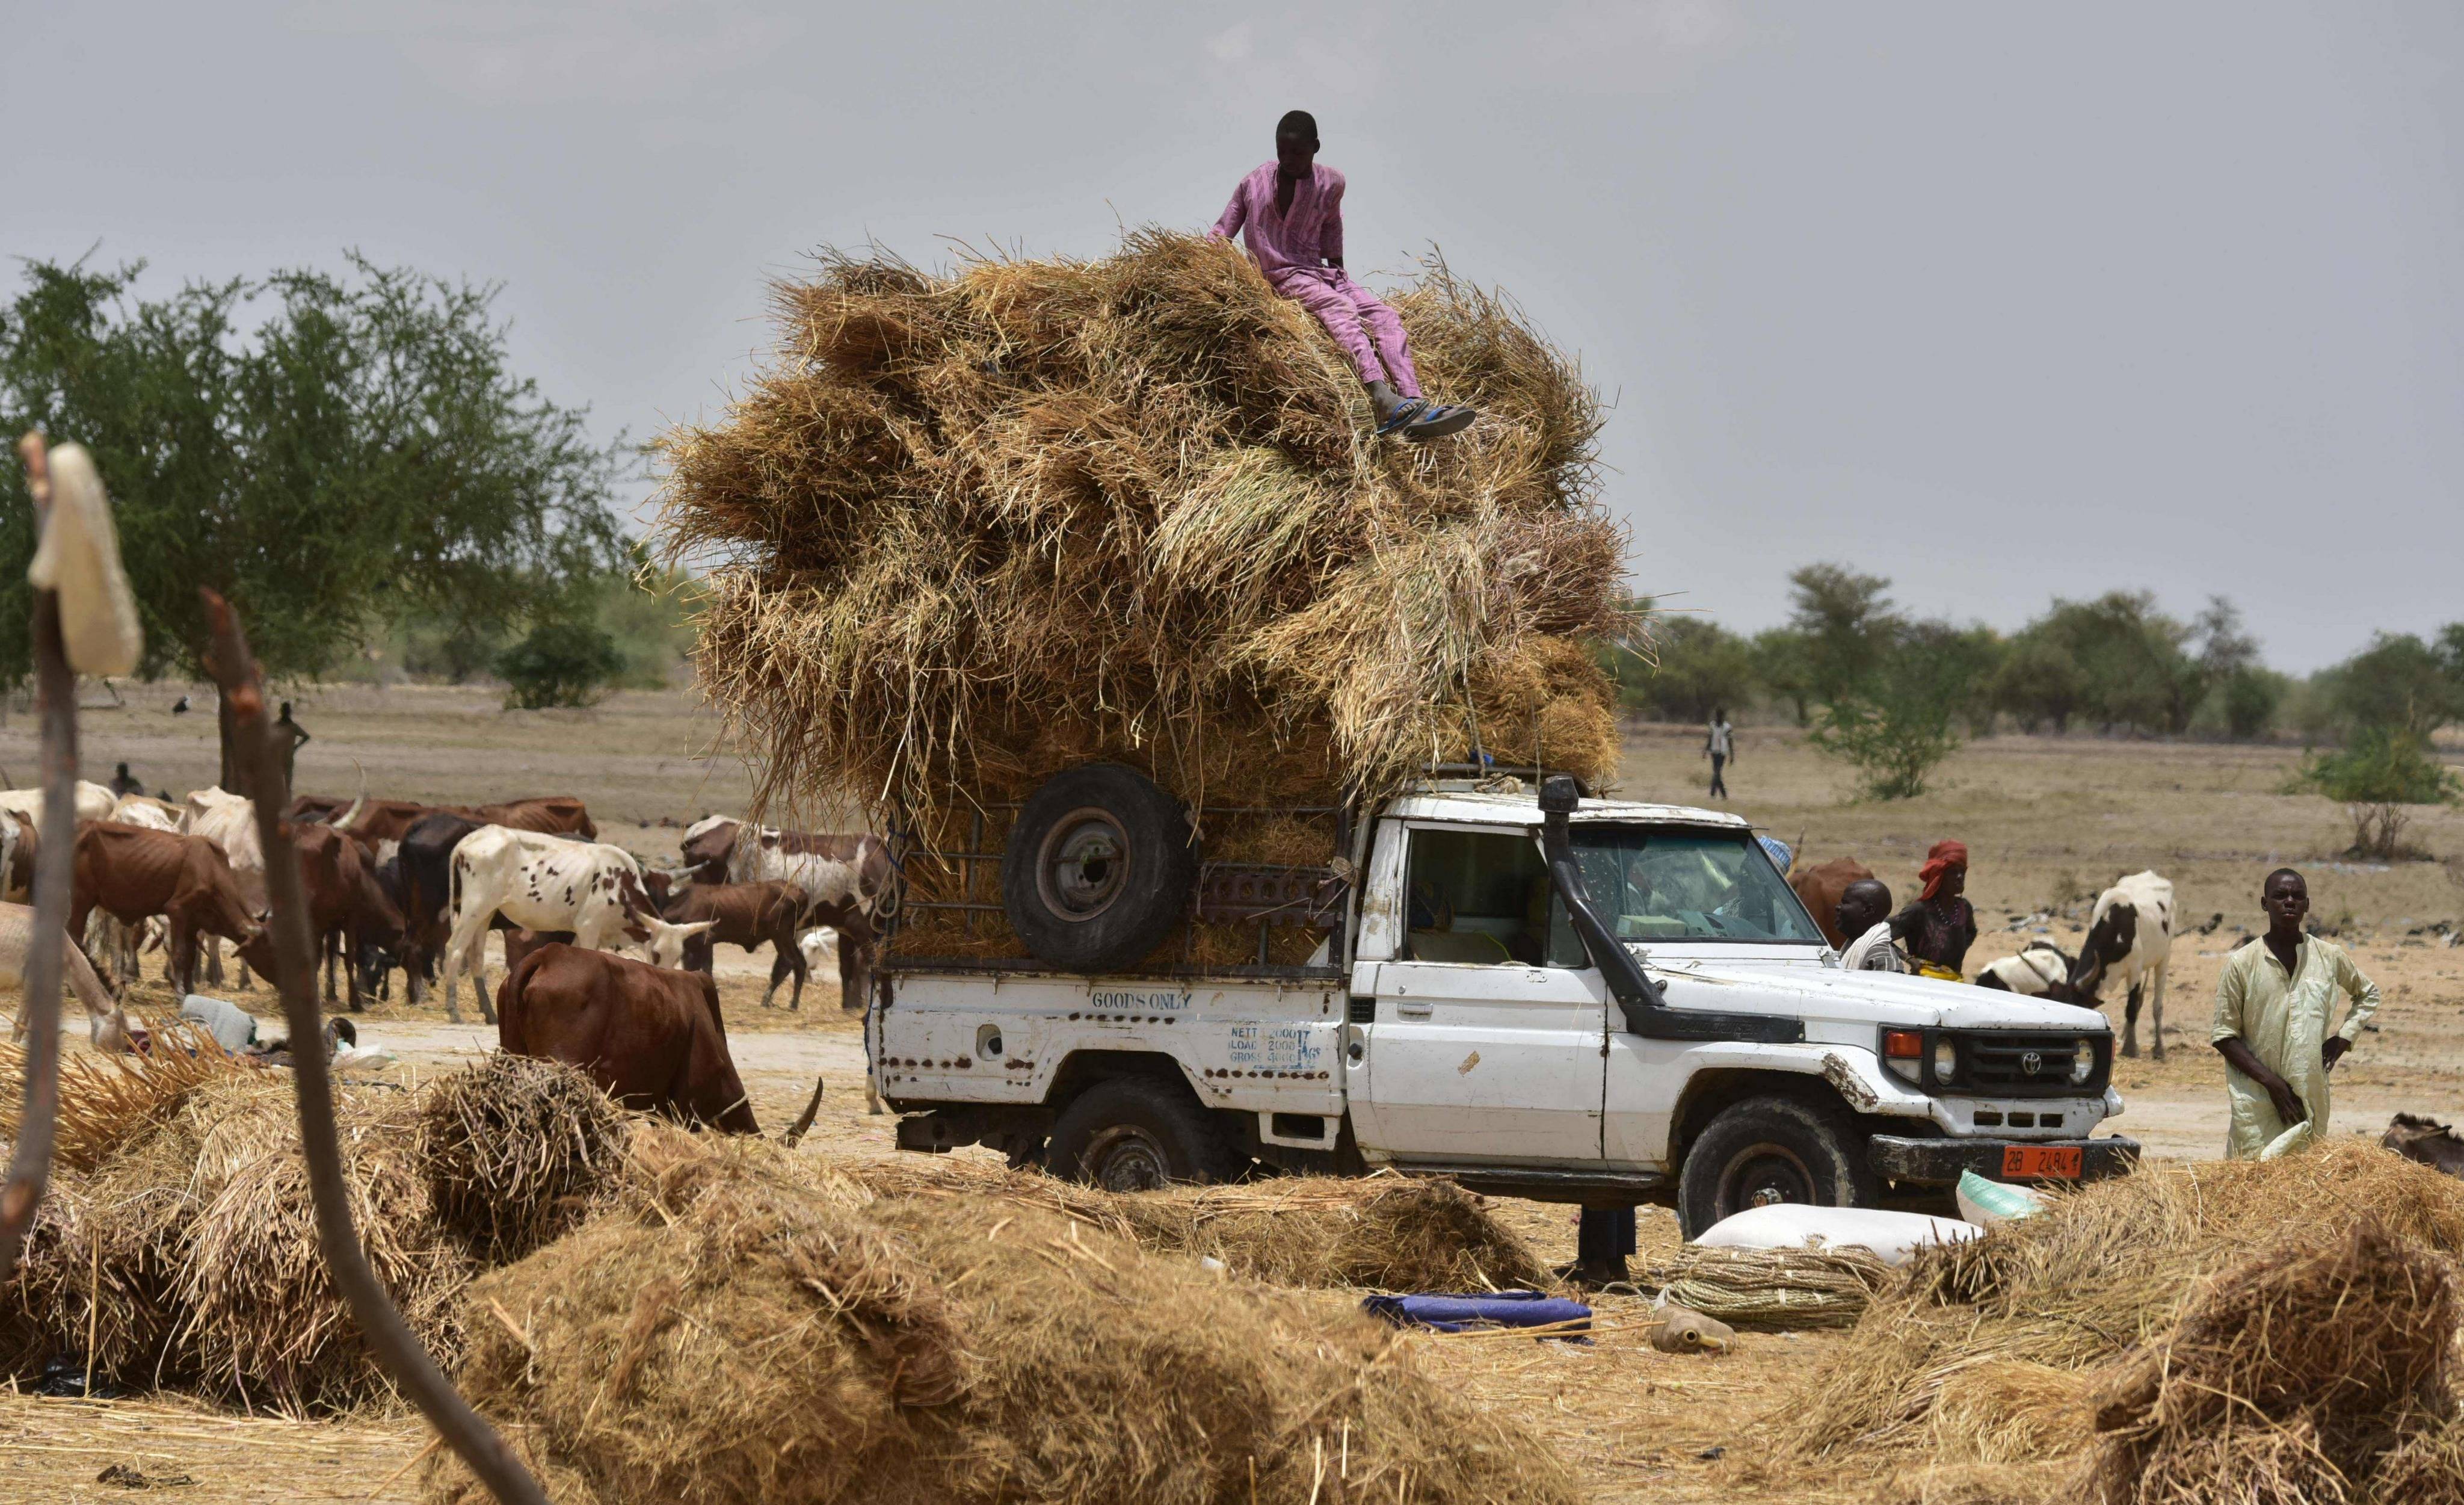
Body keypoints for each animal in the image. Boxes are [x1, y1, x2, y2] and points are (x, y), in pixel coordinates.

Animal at [72, 817, 277, 995]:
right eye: (270, 949)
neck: (211, 869)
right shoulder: (177, 911)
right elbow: (180, 954)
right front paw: (179, 992)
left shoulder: (194, 922)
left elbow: (191, 957)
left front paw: (190, 990)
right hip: (82, 899)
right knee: (76, 938)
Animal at [439, 832, 714, 1029]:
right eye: (656, 955)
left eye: (678, 956)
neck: (620, 885)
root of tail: (468, 841)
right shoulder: (589, 928)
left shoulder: (583, 933)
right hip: (474, 907)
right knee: (454, 948)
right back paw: (453, 1010)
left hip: (486, 913)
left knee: (475, 955)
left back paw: (489, 1014)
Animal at [655, 882, 818, 1015]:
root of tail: (799, 891)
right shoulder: (694, 947)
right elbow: (691, 968)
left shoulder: (705, 941)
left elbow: (705, 968)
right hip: (787, 936)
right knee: (798, 963)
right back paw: (787, 1003)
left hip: (780, 934)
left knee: (790, 962)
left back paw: (776, 1001)